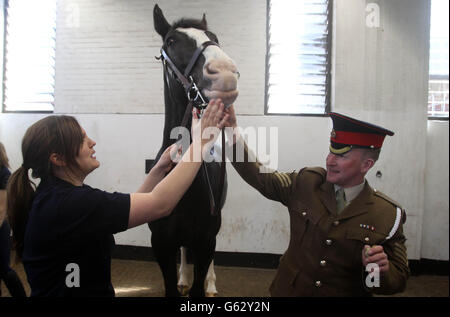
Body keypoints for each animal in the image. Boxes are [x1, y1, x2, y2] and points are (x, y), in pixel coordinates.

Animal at [148, 4, 239, 296]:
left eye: (214, 37)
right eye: (171, 41)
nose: (225, 72)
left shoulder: (206, 241)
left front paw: (203, 284)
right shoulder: (161, 244)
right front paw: (182, 280)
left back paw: (209, 283)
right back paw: (184, 277)